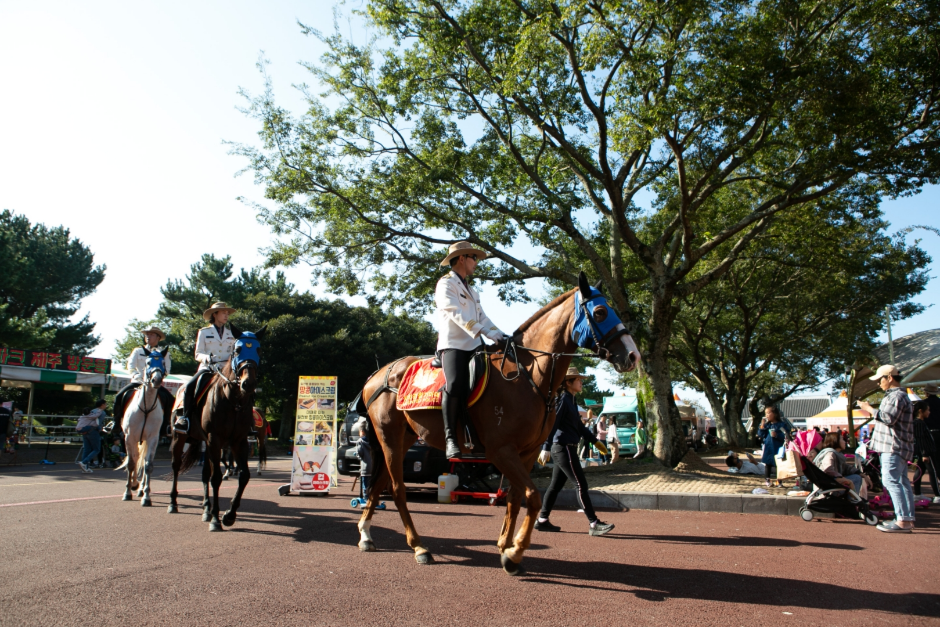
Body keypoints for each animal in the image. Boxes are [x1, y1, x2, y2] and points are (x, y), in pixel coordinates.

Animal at [165, 326, 266, 532]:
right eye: (237, 350)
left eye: (259, 350)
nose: (249, 383)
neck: (232, 400)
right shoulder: (215, 439)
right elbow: (217, 478)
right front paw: (216, 519)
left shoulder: (239, 441)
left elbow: (244, 475)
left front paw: (229, 515)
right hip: (180, 438)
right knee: (177, 466)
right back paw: (173, 503)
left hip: (205, 442)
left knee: (205, 474)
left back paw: (206, 508)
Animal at [358, 272, 640, 576]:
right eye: (600, 312)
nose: (633, 355)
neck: (526, 374)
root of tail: (376, 374)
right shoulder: (501, 450)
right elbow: (533, 496)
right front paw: (514, 553)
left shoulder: (526, 453)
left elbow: (516, 497)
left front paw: (506, 545)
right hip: (389, 437)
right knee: (397, 490)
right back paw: (419, 547)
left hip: (402, 439)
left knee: (378, 484)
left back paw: (366, 534)